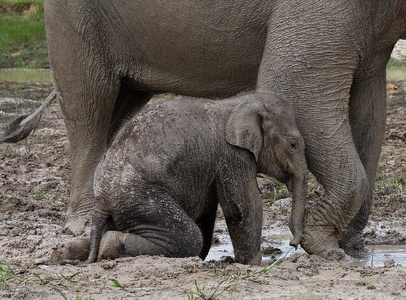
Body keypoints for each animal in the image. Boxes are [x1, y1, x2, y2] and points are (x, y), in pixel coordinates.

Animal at [86, 92, 308, 264]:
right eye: (293, 144)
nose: (293, 244)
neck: (238, 102)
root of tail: (101, 202)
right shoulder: (231, 156)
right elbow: (244, 208)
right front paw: (255, 266)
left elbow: (207, 212)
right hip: (141, 201)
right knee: (189, 237)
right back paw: (108, 247)